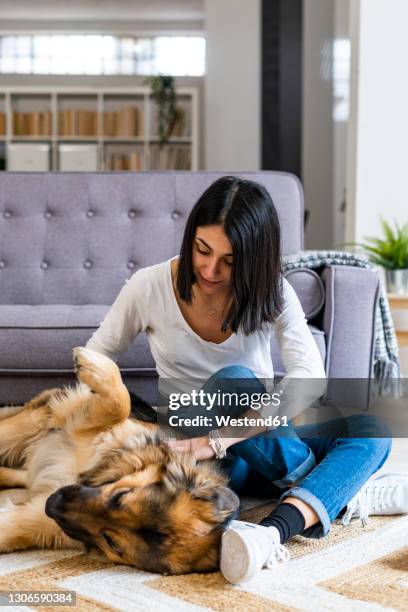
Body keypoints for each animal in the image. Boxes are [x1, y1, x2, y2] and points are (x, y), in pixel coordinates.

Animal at [0, 350, 239, 572]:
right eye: (120, 496)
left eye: (111, 542)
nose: (53, 505)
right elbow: (119, 404)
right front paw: (93, 363)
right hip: (31, 423)